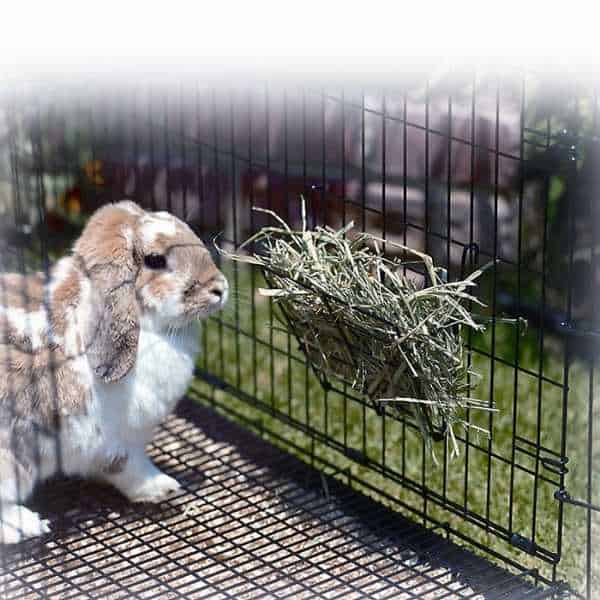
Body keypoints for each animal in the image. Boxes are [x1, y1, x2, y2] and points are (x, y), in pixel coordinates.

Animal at [0, 200, 229, 544]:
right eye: (155, 260)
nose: (220, 288)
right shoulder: (115, 441)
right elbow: (128, 467)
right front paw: (162, 487)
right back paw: (27, 524)